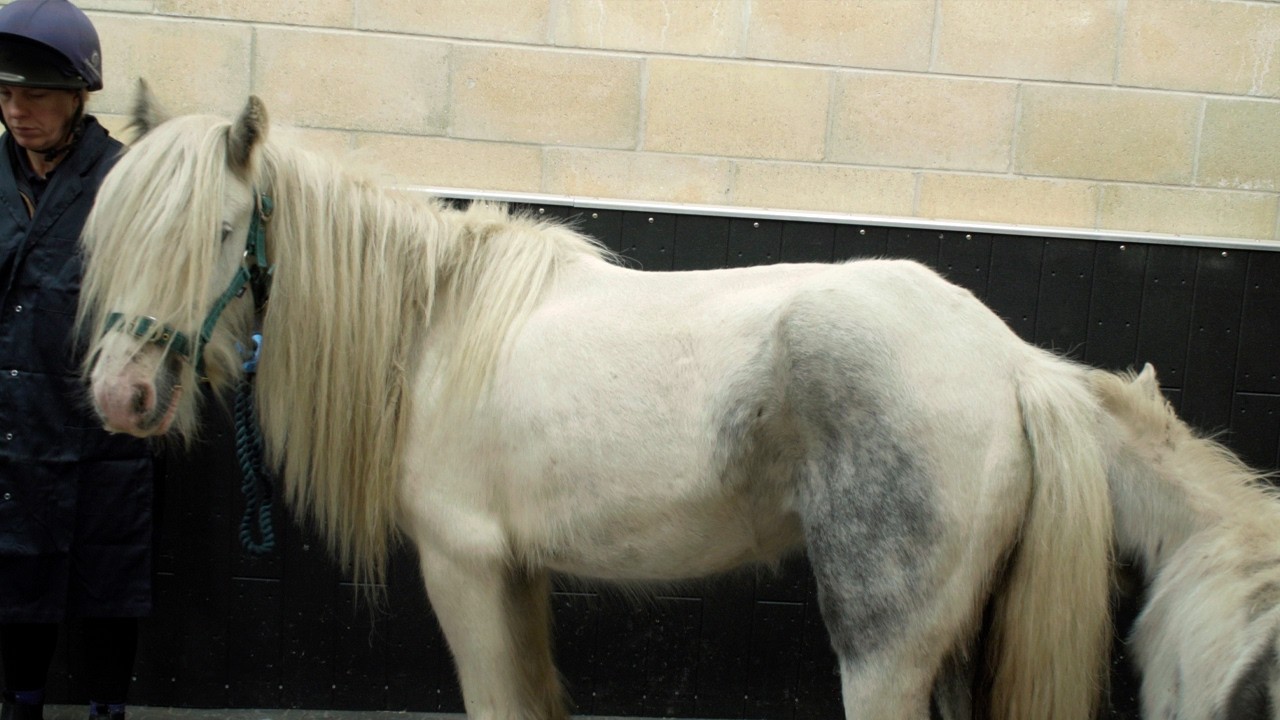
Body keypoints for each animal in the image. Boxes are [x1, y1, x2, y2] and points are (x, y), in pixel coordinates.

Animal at [75, 84, 1280, 720]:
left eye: (218, 233)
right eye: (114, 235)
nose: (121, 395)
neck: (439, 328)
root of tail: (1009, 361)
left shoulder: (462, 567)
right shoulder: (514, 575)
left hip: (887, 648)